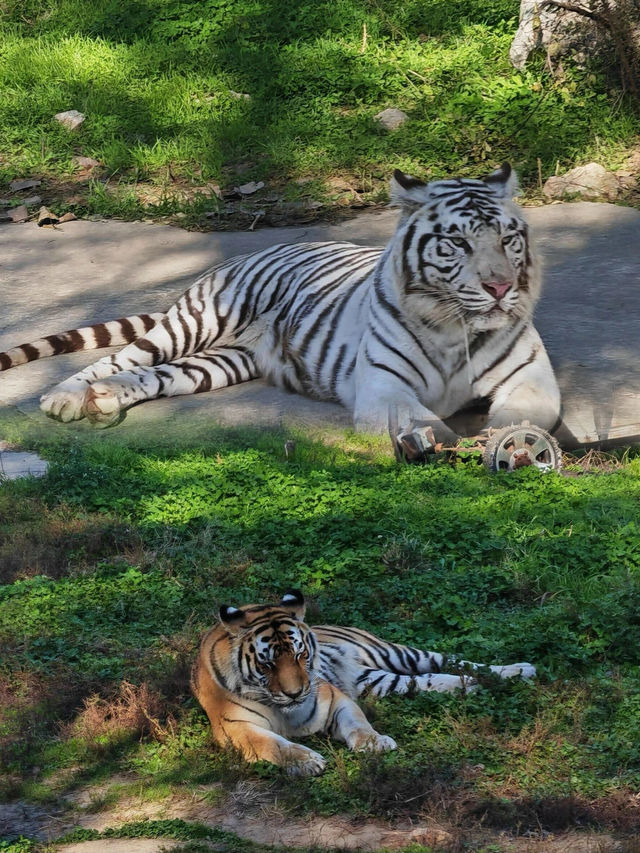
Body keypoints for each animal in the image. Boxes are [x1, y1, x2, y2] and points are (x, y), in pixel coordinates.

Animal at [0, 164, 560, 436]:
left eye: (508, 239)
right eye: (458, 243)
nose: (500, 288)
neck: (453, 325)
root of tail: (257, 248)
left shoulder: (532, 382)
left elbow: (524, 418)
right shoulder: (386, 391)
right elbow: (429, 425)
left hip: (220, 363)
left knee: (149, 377)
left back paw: (105, 399)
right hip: (192, 324)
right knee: (117, 359)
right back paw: (65, 398)